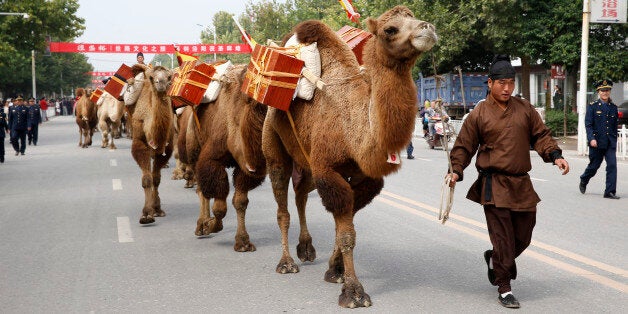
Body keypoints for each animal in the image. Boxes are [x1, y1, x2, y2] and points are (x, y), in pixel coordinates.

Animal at [130, 65, 174, 224]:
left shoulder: (167, 148)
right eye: (151, 77)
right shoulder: (139, 144)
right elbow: (147, 179)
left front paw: (156, 209)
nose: (161, 82)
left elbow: (156, 179)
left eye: (169, 77)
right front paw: (146, 214)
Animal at [262, 6, 436, 308]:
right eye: (390, 29)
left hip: (307, 162)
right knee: (282, 202)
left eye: (414, 16)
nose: (427, 28)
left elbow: (346, 223)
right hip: (275, 144)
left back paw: (306, 248)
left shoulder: (365, 177)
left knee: (301, 192)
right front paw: (353, 292)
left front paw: (336, 270)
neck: (355, 127)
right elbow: (346, 233)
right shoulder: (328, 170)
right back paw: (286, 263)